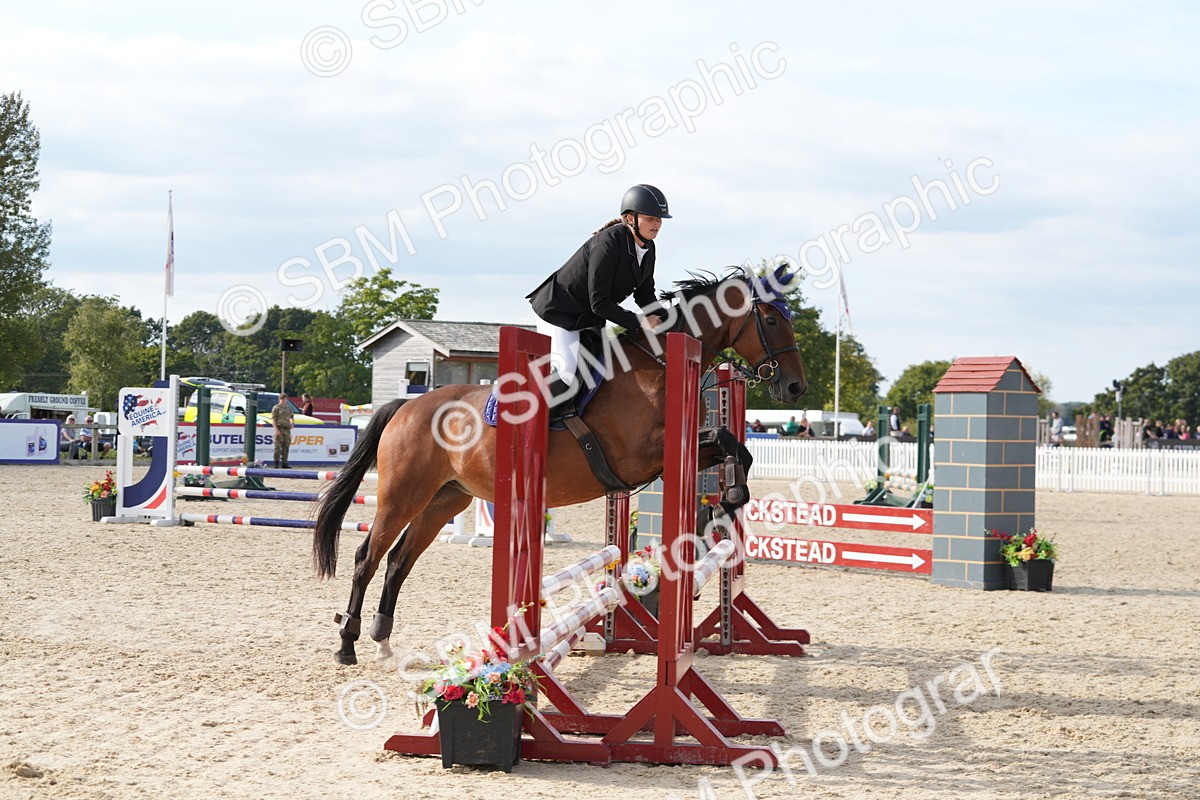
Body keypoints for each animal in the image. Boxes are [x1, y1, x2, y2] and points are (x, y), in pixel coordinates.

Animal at [313, 268, 809, 664]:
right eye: (770, 319)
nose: (795, 387)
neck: (657, 366)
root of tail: (406, 406)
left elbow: (735, 447)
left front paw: (729, 499)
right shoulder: (643, 454)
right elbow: (724, 441)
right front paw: (730, 497)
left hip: (446, 499)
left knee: (399, 561)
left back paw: (381, 639)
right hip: (403, 494)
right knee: (368, 557)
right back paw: (347, 644)